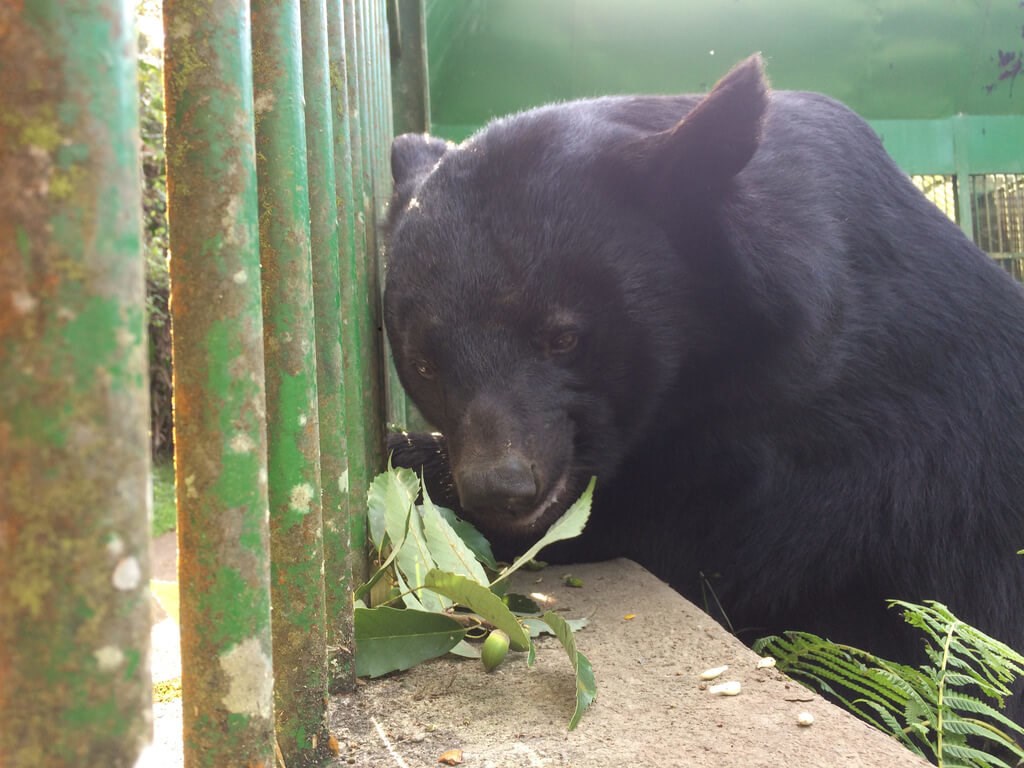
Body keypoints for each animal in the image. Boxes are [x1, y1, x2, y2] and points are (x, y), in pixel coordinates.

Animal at [382, 57, 1024, 720]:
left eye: (563, 338)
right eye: (425, 364)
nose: (500, 489)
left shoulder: (848, 430)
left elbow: (700, 525)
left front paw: (421, 466)